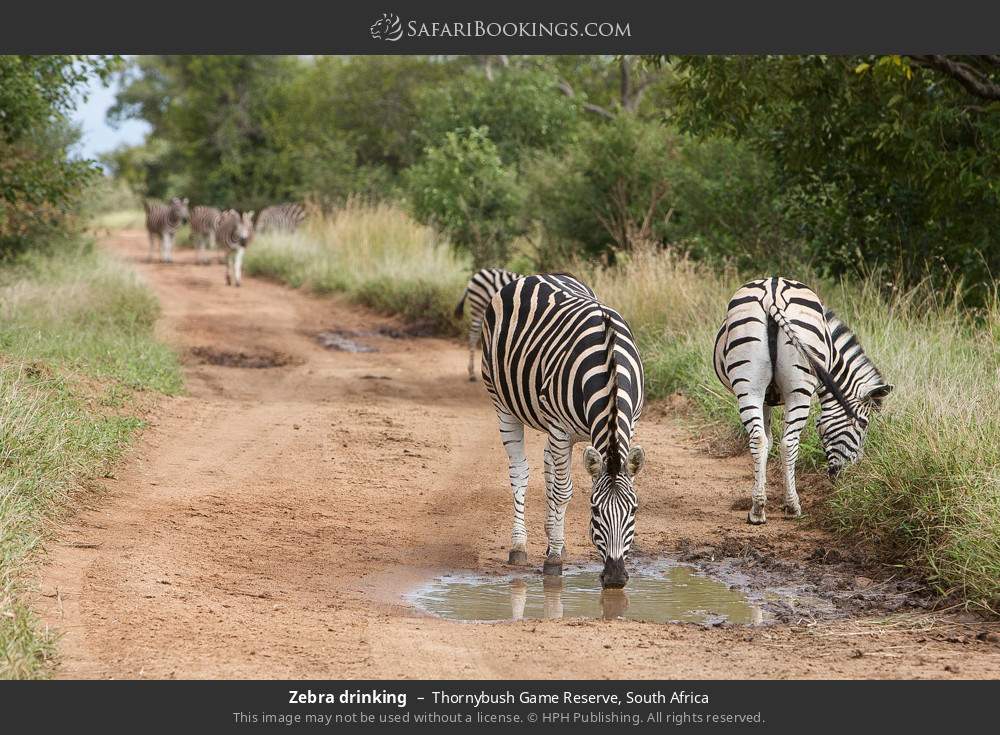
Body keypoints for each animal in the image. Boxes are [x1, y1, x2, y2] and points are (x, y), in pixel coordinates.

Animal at [481, 273, 646, 589]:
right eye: (594, 510)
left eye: (633, 510)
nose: (615, 578)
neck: (609, 369)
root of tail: (536, 275)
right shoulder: (559, 429)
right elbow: (563, 492)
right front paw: (554, 561)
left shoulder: (629, 422)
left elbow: (558, 486)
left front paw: (555, 545)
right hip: (502, 404)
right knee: (520, 472)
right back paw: (520, 546)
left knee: (548, 464)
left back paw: (553, 538)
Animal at [713, 277, 892, 525]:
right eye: (864, 424)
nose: (848, 476)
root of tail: (773, 294)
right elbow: (771, 440)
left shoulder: (766, 398)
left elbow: (767, 440)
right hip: (797, 388)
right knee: (787, 442)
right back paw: (791, 507)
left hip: (751, 386)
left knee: (761, 439)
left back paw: (760, 510)